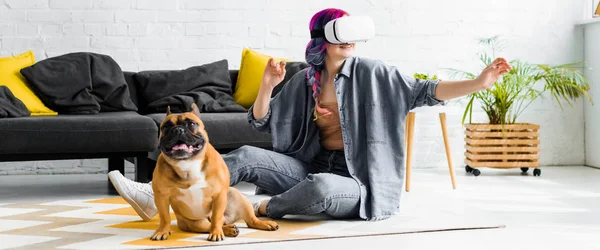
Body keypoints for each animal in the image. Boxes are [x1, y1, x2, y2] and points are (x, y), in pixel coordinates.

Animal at [152, 103, 278, 240]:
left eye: (191, 124)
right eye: (165, 127)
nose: (178, 130)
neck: (188, 163)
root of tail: (228, 219)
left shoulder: (219, 195)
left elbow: (216, 216)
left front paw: (216, 233)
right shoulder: (161, 196)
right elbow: (165, 217)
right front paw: (162, 231)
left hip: (238, 198)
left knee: (248, 221)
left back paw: (264, 224)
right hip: (195, 223)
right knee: (209, 225)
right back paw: (229, 229)